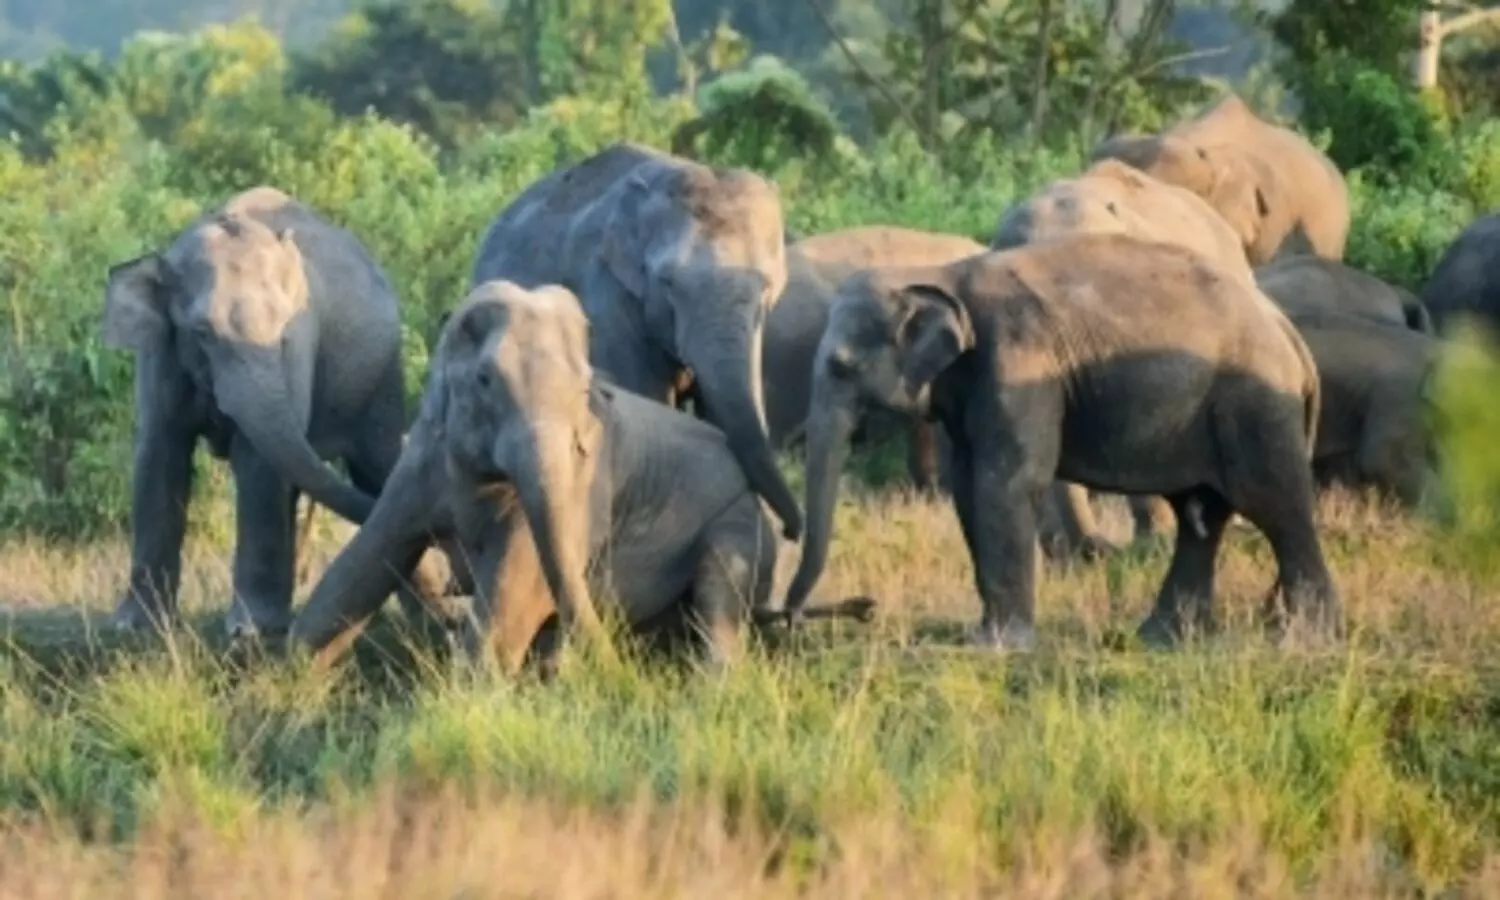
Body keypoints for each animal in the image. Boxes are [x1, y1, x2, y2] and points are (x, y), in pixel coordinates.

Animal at [100, 186, 454, 638]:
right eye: (201, 333)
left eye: (283, 333)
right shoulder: (160, 350)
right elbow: (160, 453)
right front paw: (134, 627)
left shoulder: (300, 345)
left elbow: (256, 462)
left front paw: (247, 632)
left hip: (381, 374)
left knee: (377, 467)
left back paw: (431, 620)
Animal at [288, 281, 871, 672]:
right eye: (485, 380)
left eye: (583, 388)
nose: (614, 672)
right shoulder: (424, 461)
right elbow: (365, 561)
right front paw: (289, 679)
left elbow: (514, 598)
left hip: (740, 525)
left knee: (719, 600)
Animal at [782, 232, 1342, 650]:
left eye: (841, 367)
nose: (791, 619)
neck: (940, 277)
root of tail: (1290, 336)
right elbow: (967, 487)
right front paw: (983, 635)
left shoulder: (1019, 364)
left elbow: (1005, 483)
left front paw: (999, 646)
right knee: (1199, 513)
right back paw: (1162, 638)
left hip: (1255, 405)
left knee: (1274, 503)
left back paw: (1306, 638)